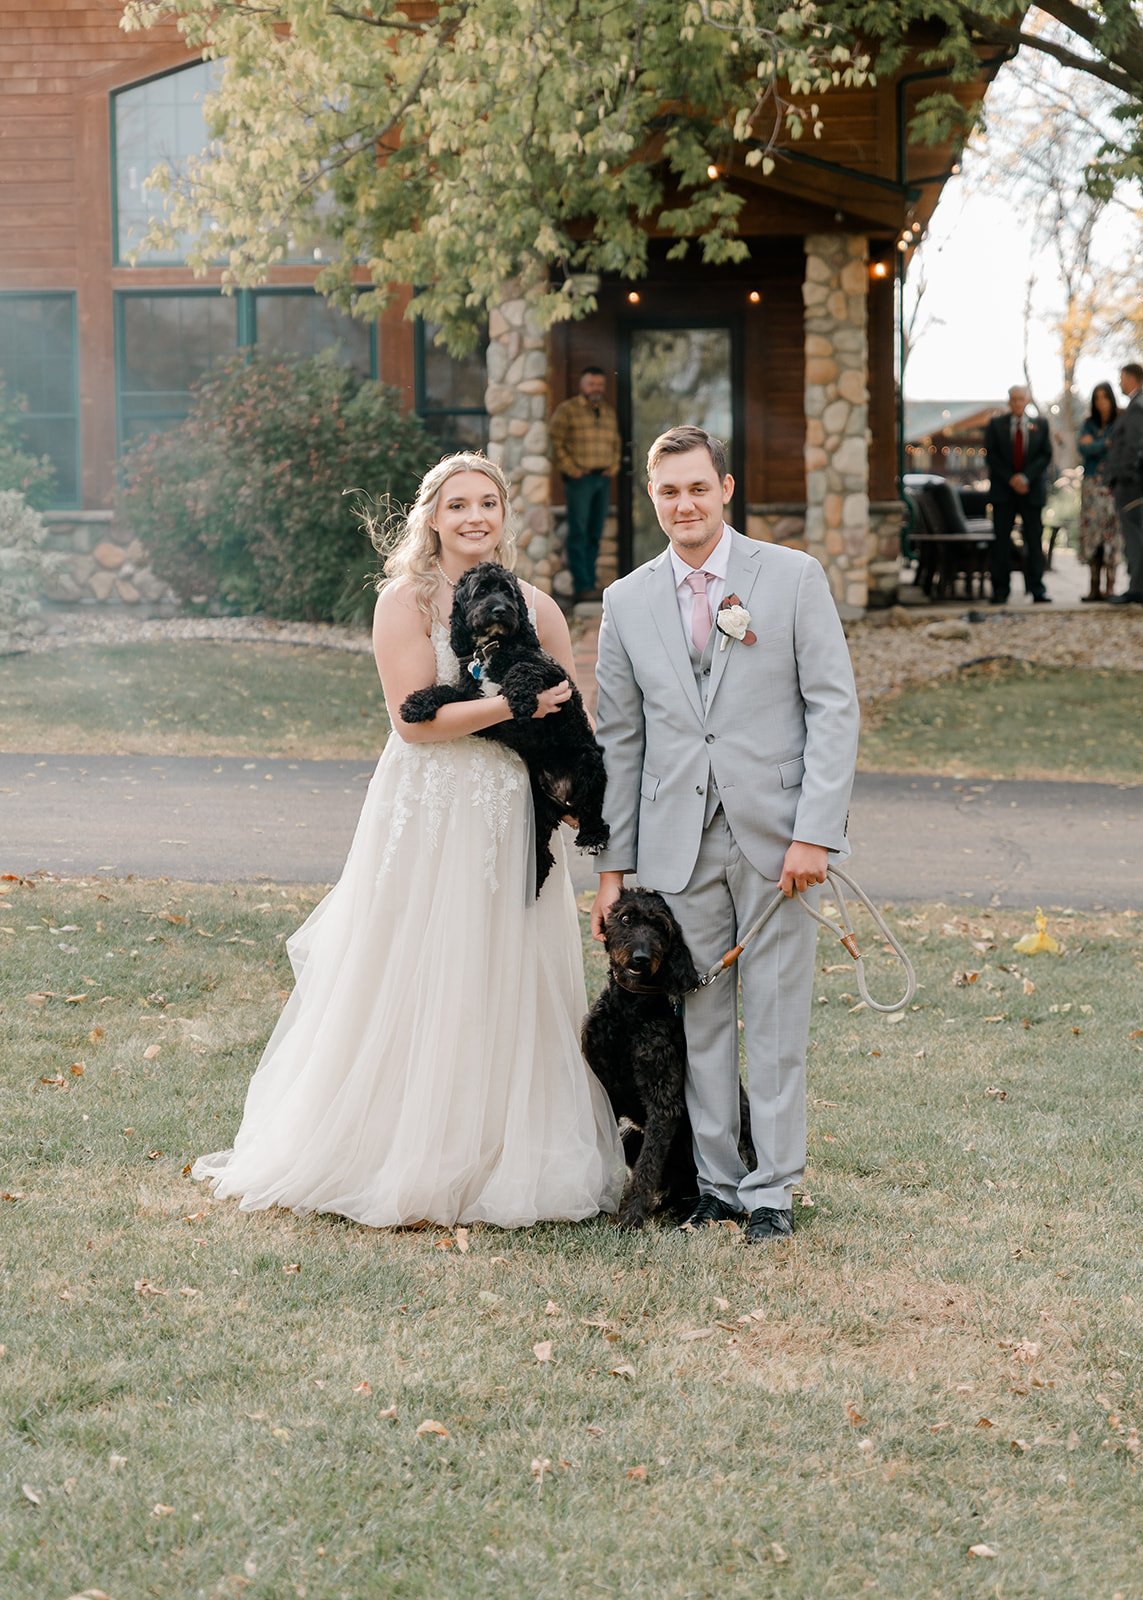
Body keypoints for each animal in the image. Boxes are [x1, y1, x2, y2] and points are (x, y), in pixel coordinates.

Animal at [400, 562, 609, 893]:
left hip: (589, 762)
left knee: (594, 806)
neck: (492, 649)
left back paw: (593, 836)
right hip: (538, 809)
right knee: (544, 854)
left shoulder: (554, 674)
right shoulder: (476, 706)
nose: (499, 609)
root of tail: (563, 798)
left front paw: (520, 696)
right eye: (481, 591)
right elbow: (448, 691)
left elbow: (525, 667)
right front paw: (417, 702)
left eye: (508, 592)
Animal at [582, 887, 754, 1228]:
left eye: (661, 928)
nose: (641, 958)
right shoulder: (604, 1088)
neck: (630, 1011)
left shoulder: (663, 1103)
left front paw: (630, 1216)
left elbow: (648, 1167)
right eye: (626, 919)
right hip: (631, 1137)